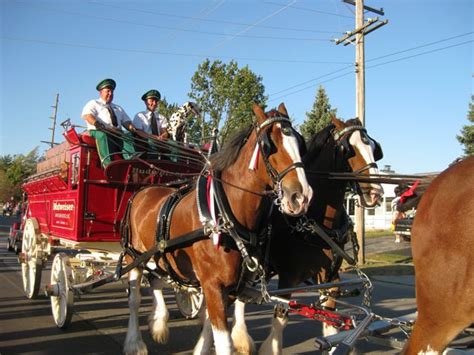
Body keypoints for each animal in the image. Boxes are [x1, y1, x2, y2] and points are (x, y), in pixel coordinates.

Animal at [123, 103, 314, 355]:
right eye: (268, 145)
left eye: (300, 143)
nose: (301, 196)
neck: (225, 216)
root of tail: (142, 191)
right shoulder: (213, 285)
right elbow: (223, 341)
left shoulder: (230, 289)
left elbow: (208, 327)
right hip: (133, 257)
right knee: (134, 299)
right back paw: (134, 342)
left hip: (158, 257)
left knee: (156, 282)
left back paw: (159, 322)